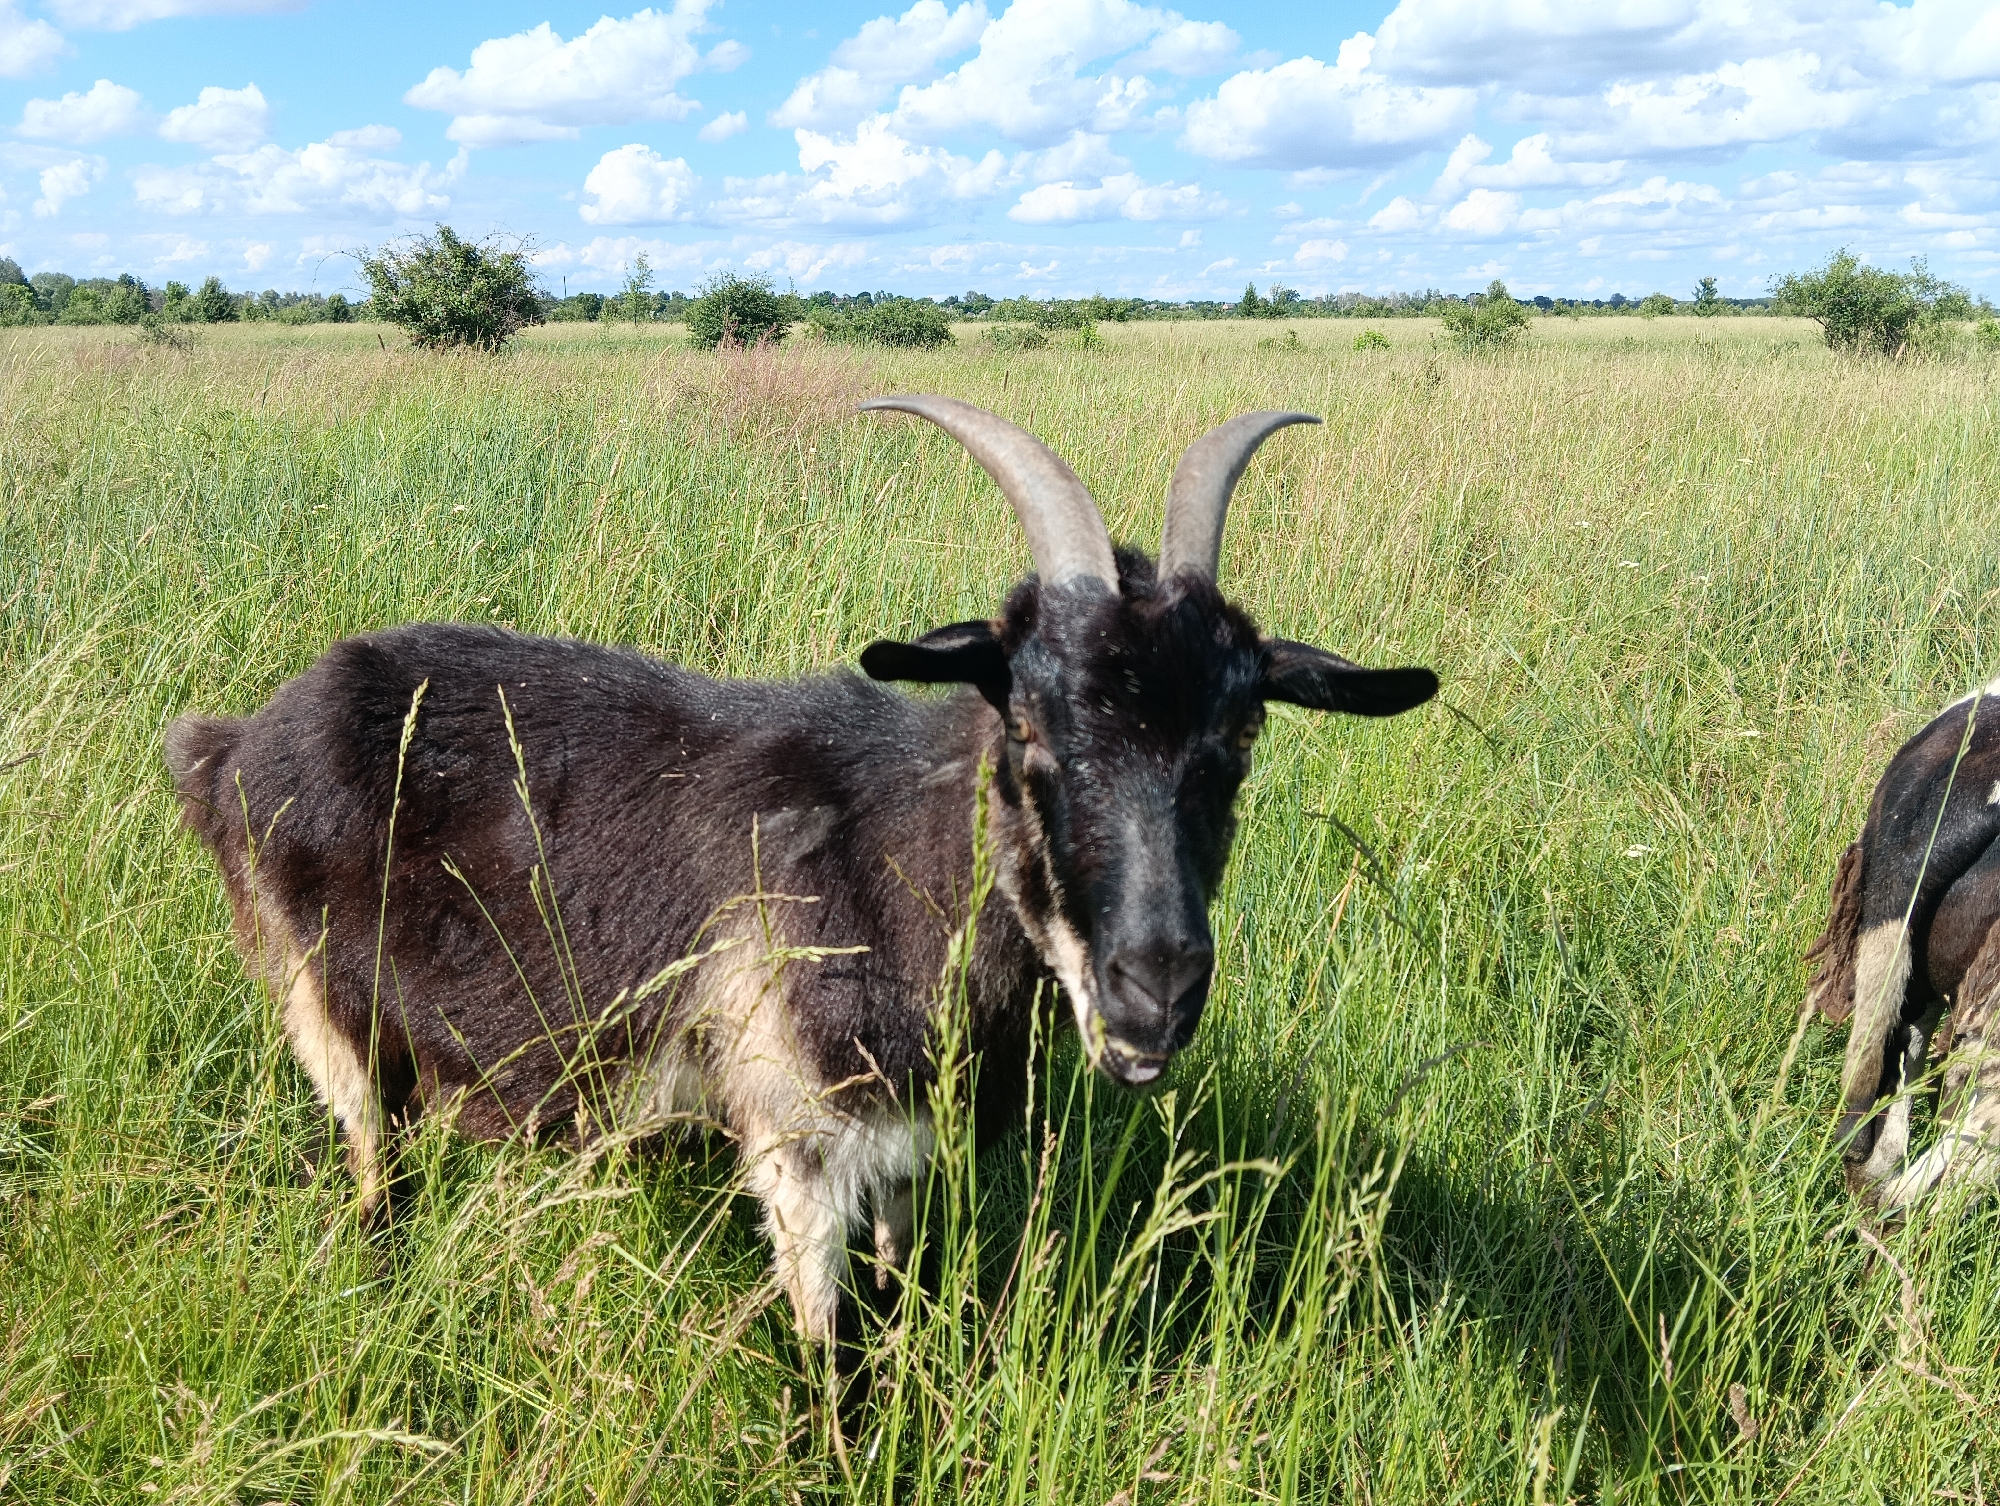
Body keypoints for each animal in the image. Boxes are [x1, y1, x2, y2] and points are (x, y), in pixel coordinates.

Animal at [164, 395, 1437, 1345]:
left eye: (1240, 737)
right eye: (1026, 728)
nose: (1152, 992)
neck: (888, 865)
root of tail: (237, 742)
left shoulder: (907, 1158)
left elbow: (898, 1311)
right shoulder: (796, 1138)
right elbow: (834, 1357)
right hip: (324, 1010)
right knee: (373, 1176)